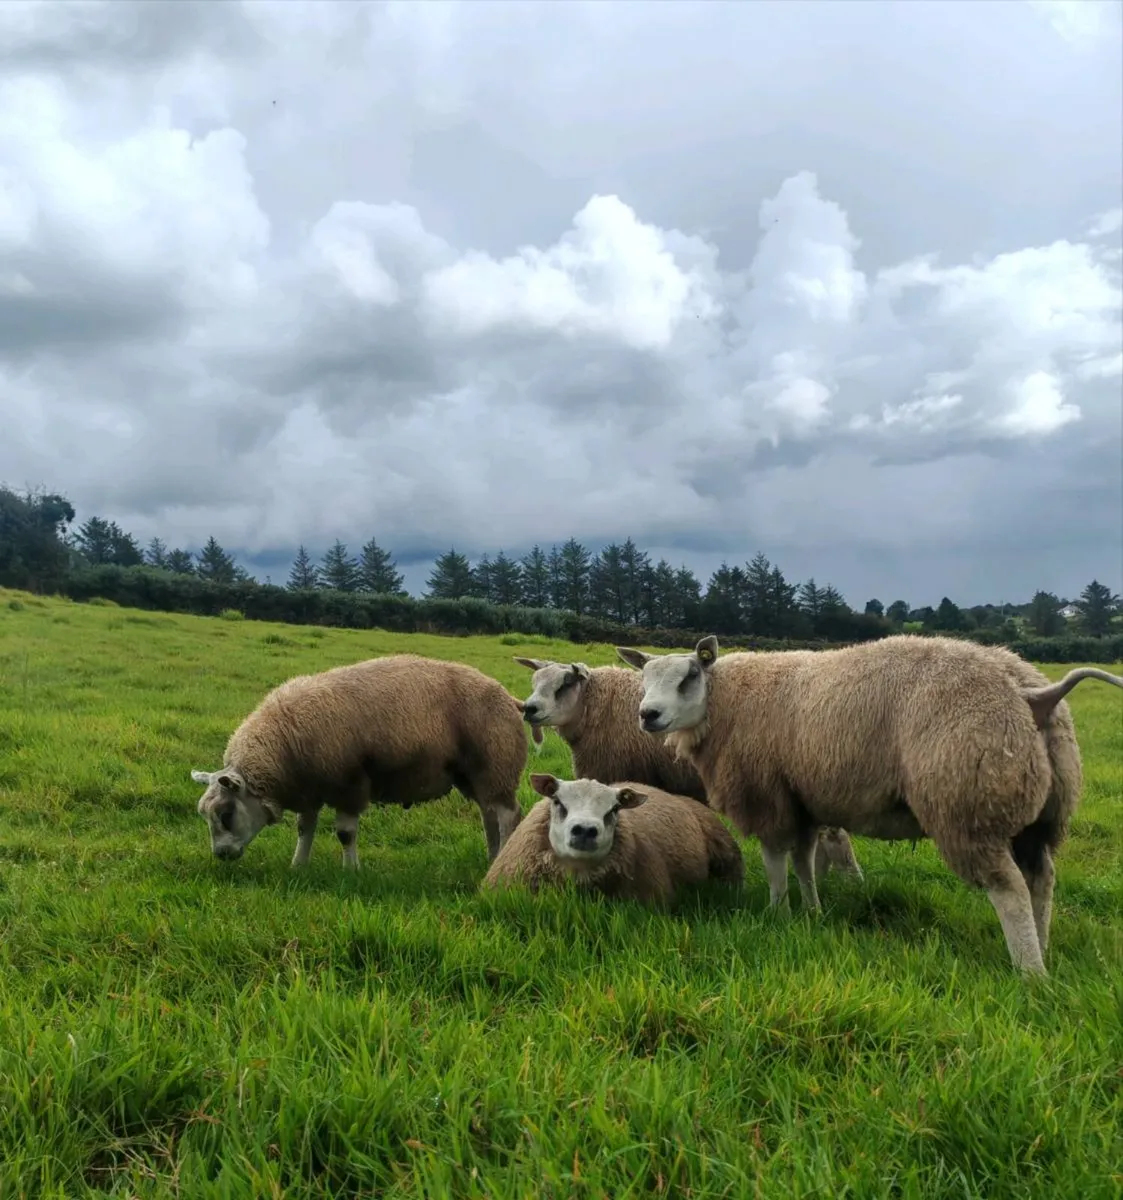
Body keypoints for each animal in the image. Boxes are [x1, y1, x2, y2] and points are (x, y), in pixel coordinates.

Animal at [190, 654, 527, 869]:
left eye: (226, 814)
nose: (221, 855)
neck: (283, 744)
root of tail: (510, 698)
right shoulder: (309, 789)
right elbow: (304, 828)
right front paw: (298, 865)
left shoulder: (349, 784)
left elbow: (345, 834)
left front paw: (351, 870)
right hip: (474, 775)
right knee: (488, 815)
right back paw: (494, 856)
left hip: (496, 765)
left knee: (507, 815)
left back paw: (502, 856)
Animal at [616, 633, 1123, 975]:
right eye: (643, 678)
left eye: (689, 677)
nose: (647, 716)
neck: (722, 701)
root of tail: (1033, 693)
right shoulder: (803, 800)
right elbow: (804, 861)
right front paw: (812, 912)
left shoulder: (767, 795)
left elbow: (776, 862)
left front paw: (777, 913)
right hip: (1041, 814)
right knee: (1041, 880)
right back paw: (1043, 945)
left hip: (967, 802)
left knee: (1009, 888)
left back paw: (1029, 972)